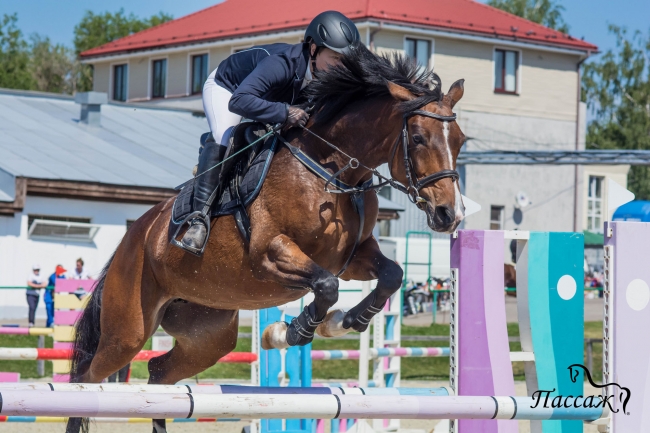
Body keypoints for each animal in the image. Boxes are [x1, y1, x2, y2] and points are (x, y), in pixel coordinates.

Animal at [66, 44, 466, 432]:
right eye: (418, 138)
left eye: (461, 141)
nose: (450, 215)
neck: (332, 169)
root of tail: (133, 236)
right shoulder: (271, 253)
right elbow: (326, 286)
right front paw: (296, 330)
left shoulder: (352, 257)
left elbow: (391, 275)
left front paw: (350, 320)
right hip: (127, 331)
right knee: (86, 378)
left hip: (207, 334)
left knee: (159, 374)